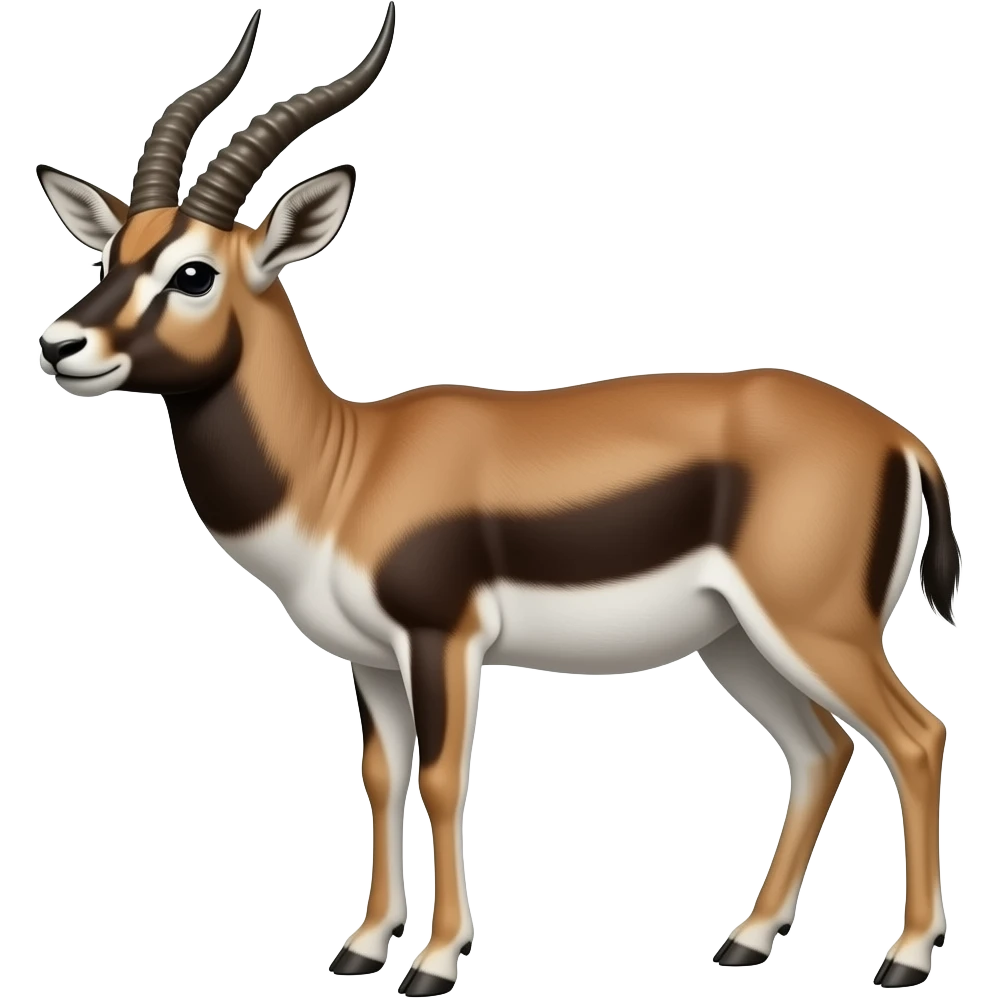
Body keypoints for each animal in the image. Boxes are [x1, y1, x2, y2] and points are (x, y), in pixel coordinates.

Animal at [33, 4, 957, 994]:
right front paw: (363, 945)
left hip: (817, 627)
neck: (345, 468)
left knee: (915, 737)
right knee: (820, 749)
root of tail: (902, 440)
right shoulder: (371, 659)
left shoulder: (443, 638)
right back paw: (746, 939)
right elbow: (380, 775)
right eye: (113, 254)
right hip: (738, 641)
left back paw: (904, 958)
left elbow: (443, 779)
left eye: (195, 273)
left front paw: (435, 961)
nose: (61, 345)